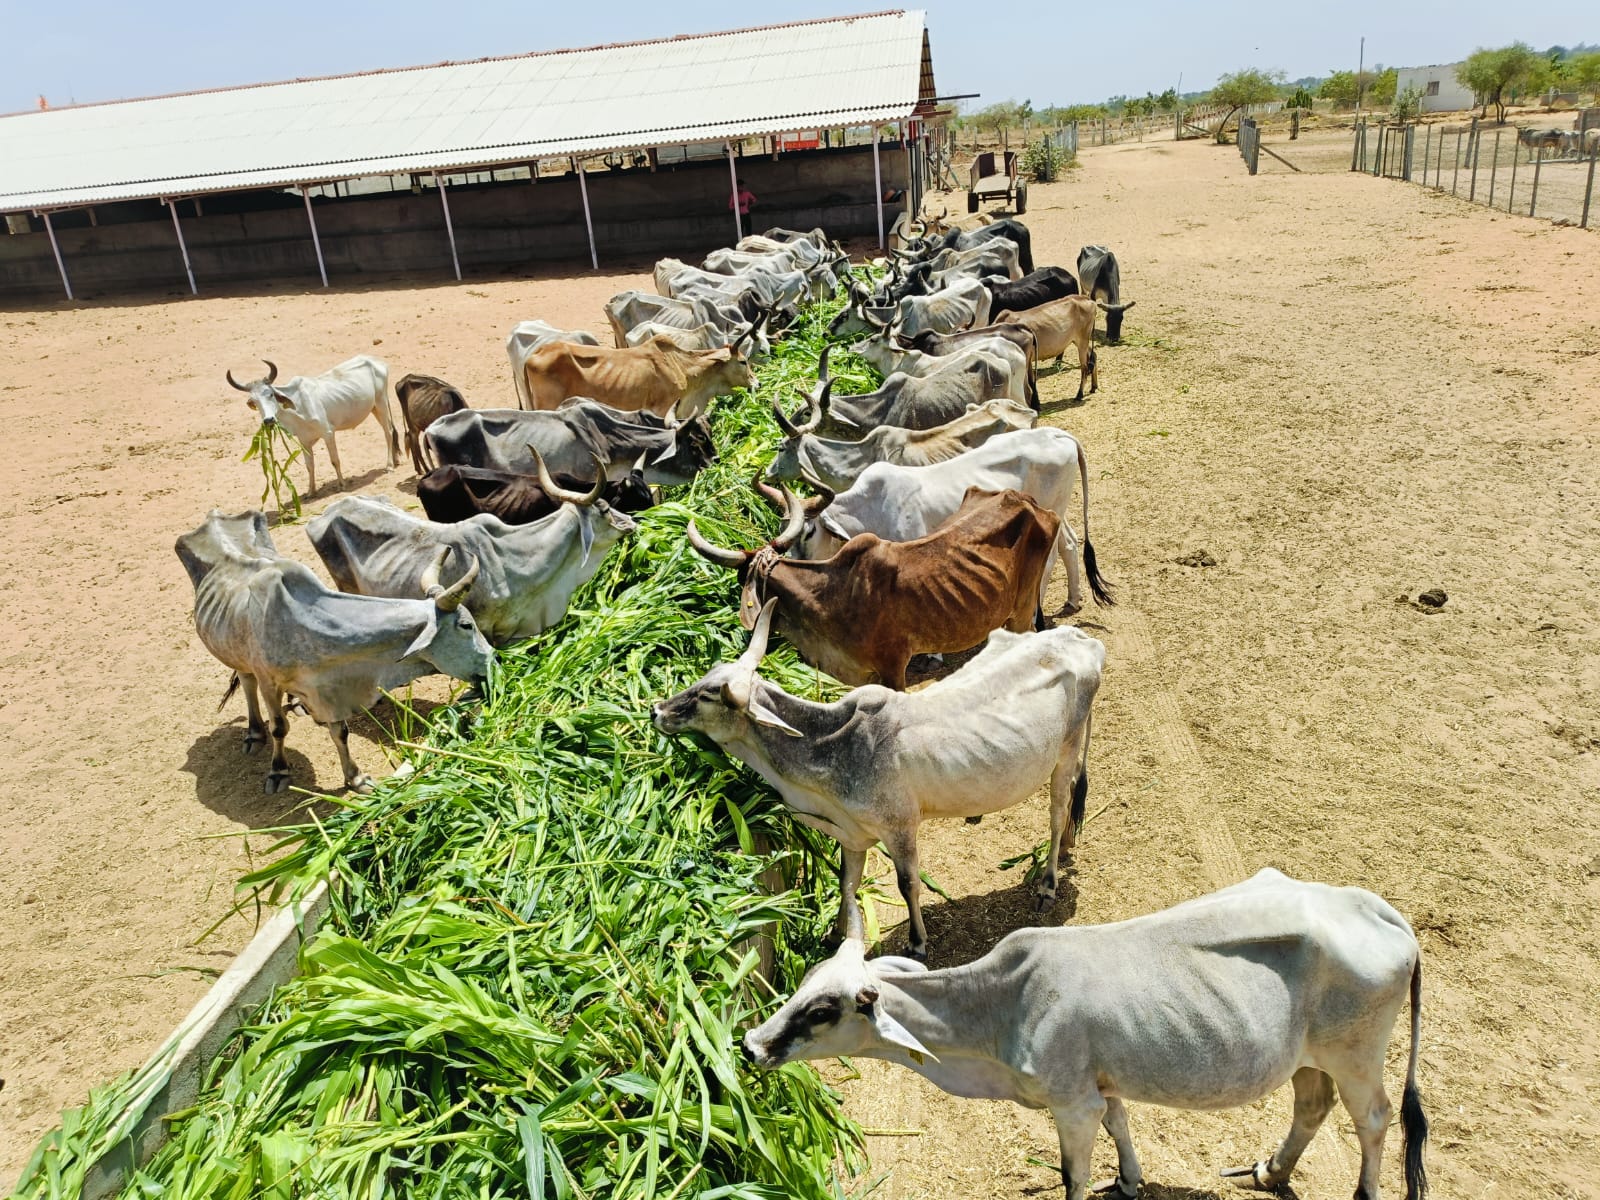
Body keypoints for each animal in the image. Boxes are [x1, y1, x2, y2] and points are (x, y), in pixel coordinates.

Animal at [176, 509, 491, 794]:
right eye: (466, 625)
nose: (492, 660)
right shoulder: (270, 682)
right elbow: (279, 727)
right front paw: (278, 771)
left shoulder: (329, 687)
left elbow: (340, 732)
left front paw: (356, 778)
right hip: (236, 653)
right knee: (246, 681)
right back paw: (254, 734)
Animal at [225, 356, 399, 496]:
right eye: (254, 402)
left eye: (271, 394)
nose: (268, 420)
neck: (297, 408)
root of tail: (376, 361)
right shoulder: (304, 441)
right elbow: (309, 466)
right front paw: (310, 491)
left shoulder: (328, 433)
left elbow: (334, 460)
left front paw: (341, 484)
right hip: (375, 407)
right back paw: (395, 460)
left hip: (381, 403)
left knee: (388, 432)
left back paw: (389, 465)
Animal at [653, 605, 1103, 958]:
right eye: (704, 678)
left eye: (709, 695)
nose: (658, 710)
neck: (831, 747)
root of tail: (1081, 640)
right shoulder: (852, 835)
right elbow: (846, 882)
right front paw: (835, 934)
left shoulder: (900, 828)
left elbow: (908, 885)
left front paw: (917, 943)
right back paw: (1066, 847)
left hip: (1065, 752)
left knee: (1058, 810)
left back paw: (1047, 883)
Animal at [744, 870, 1429, 1200]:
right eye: (804, 984)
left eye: (822, 1009)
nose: (752, 1044)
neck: (1000, 1008)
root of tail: (1379, 911)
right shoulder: (1102, 1085)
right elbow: (1121, 1127)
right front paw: (1127, 1182)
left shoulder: (1071, 1103)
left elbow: (1073, 1175)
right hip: (1310, 1056)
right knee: (1312, 1106)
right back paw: (1268, 1172)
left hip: (1357, 1054)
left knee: (1373, 1119)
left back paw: (1360, 1193)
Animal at [792, 428, 1114, 617]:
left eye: (809, 532)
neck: (871, 505)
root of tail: (1058, 434)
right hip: (1054, 511)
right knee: (1070, 543)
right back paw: (1073, 599)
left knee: (1048, 561)